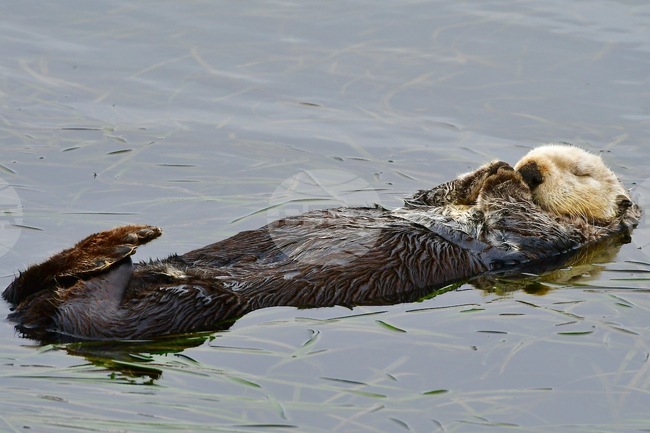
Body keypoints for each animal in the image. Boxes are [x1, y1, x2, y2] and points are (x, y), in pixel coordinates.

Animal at [2, 144, 640, 341]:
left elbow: (523, 223)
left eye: (580, 171)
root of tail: (36, 318)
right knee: (26, 284)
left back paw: (129, 243)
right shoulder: (429, 203)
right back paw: (131, 239)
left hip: (188, 306)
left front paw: (505, 182)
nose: (530, 166)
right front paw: (490, 168)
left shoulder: (548, 243)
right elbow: (427, 196)